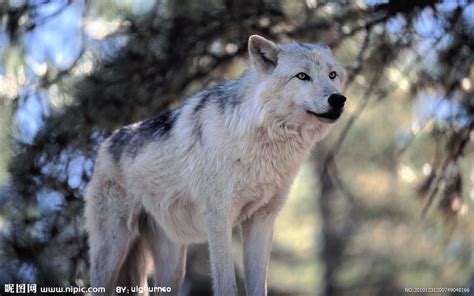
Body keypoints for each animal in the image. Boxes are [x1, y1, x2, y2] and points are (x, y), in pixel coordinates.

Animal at [84, 33, 344, 294]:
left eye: (332, 75)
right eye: (302, 76)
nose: (339, 99)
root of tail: (106, 142)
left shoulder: (261, 221)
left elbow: (259, 286)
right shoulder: (219, 219)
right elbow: (226, 284)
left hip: (172, 265)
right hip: (112, 252)